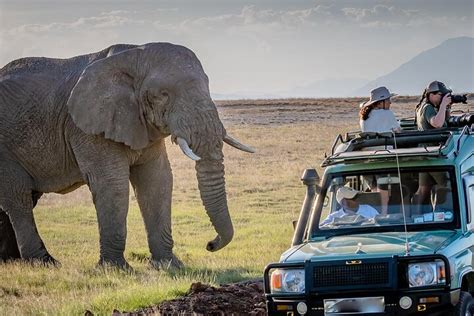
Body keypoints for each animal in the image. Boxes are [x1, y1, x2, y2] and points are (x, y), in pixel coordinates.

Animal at [0, 42, 254, 270]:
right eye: (163, 94)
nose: (210, 244)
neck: (134, 55)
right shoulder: (87, 126)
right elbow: (113, 183)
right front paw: (115, 269)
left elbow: (157, 181)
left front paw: (169, 266)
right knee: (19, 199)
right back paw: (44, 263)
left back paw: (11, 261)